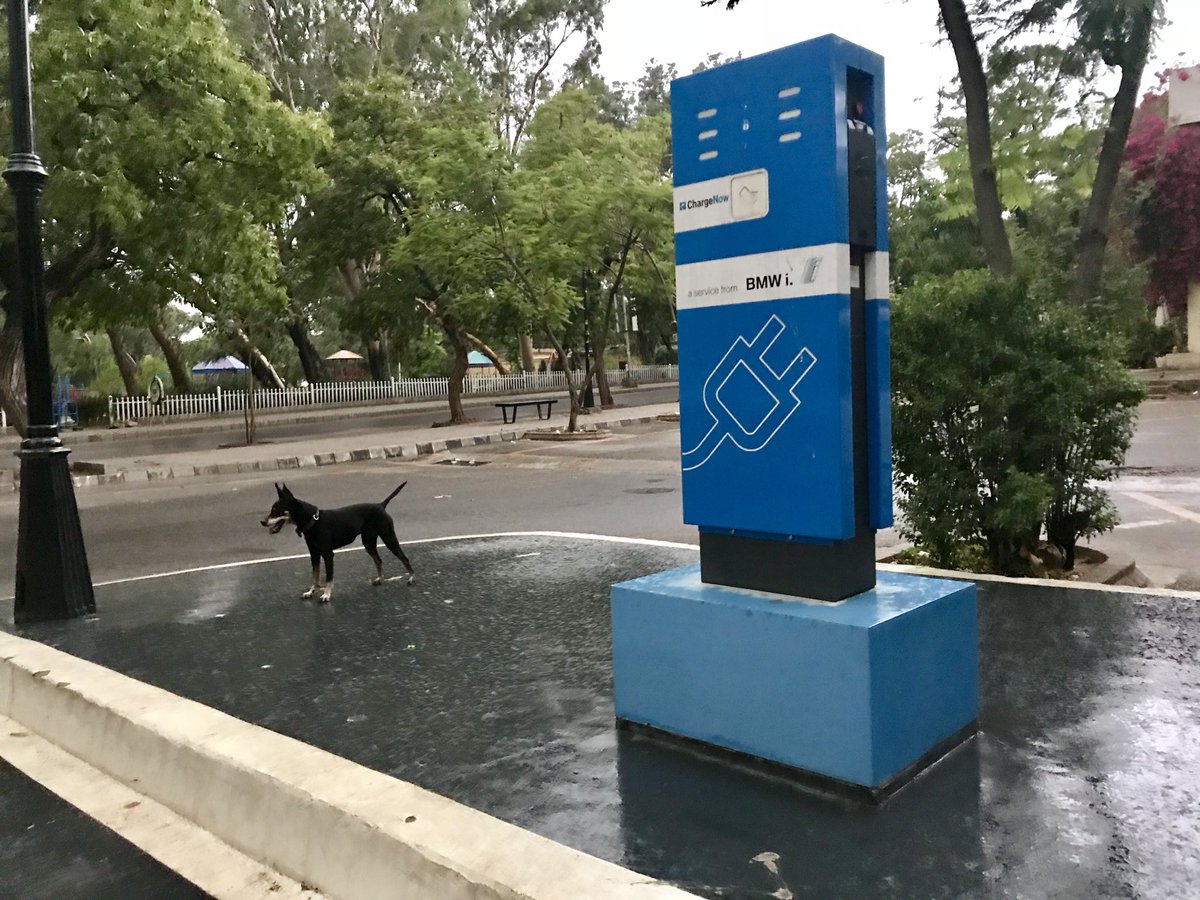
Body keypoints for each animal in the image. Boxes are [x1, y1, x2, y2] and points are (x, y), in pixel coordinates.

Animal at [261, 482, 415, 602]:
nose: (262, 522)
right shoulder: (314, 554)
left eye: (276, 510)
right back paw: (380, 579)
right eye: (272, 510)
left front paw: (326, 595)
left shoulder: (328, 554)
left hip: (389, 538)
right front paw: (310, 592)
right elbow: (315, 575)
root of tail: (381, 505)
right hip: (368, 542)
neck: (313, 521)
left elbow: (328, 577)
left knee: (404, 558)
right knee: (378, 560)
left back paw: (411, 577)